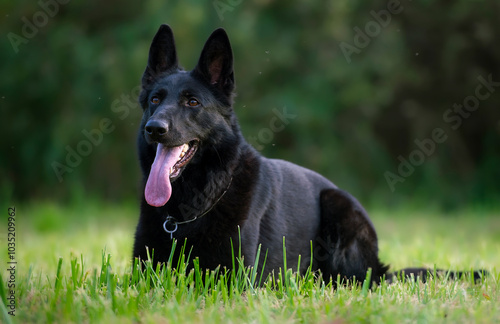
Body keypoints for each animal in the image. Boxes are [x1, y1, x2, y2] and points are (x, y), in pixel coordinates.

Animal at [134, 24, 484, 284]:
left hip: (337, 207)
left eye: (192, 102)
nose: (154, 128)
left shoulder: (231, 278)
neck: (188, 212)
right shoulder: (143, 275)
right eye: (155, 99)